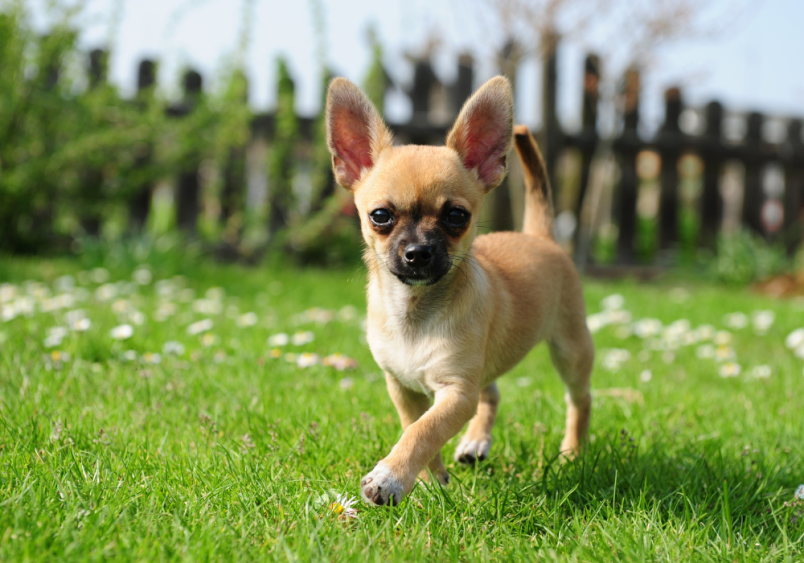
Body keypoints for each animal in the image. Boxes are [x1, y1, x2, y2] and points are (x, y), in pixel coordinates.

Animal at [324, 76, 592, 506]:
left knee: (579, 399)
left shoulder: (456, 392)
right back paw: (475, 442)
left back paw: (572, 453)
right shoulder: (403, 388)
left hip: (571, 348)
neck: (414, 312)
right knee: (492, 392)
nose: (418, 252)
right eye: (380, 216)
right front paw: (430, 480)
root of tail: (539, 235)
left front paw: (390, 477)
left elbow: (422, 431)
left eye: (456, 216)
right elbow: (414, 427)